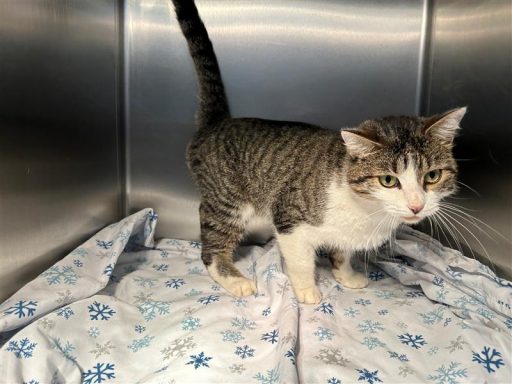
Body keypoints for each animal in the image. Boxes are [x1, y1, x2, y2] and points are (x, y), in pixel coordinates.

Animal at [171, 0, 464, 304]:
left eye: (432, 176)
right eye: (388, 180)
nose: (416, 205)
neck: (367, 211)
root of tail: (217, 122)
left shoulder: (344, 234)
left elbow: (343, 252)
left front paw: (345, 275)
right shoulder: (289, 219)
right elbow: (300, 260)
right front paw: (306, 289)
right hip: (227, 202)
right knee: (211, 247)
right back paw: (234, 279)